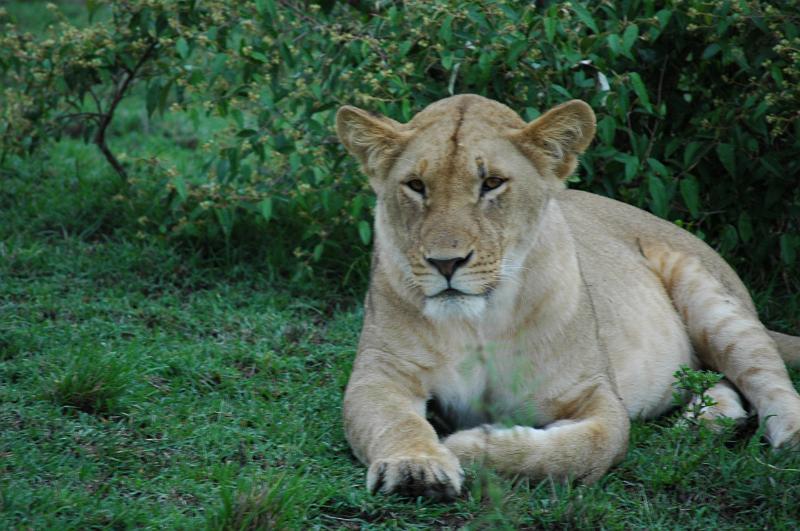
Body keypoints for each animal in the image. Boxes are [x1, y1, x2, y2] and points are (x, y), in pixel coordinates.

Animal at [335, 94, 800, 500]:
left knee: (766, 377)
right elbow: (394, 422)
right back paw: (703, 421)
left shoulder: (596, 394)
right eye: (415, 185)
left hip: (713, 303)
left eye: (491, 183)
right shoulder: (380, 372)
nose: (445, 263)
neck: (478, 324)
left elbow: (581, 450)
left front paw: (471, 445)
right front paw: (416, 467)